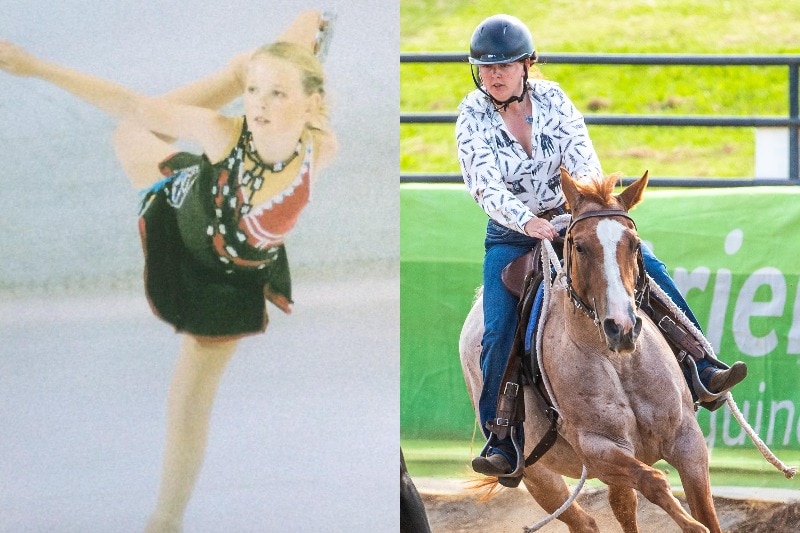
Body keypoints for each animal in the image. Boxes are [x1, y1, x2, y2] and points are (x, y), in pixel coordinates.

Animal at [460, 170, 720, 532]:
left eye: (634, 244)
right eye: (580, 246)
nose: (621, 326)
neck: (617, 362)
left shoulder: (688, 442)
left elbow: (706, 512)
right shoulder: (599, 448)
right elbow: (654, 481)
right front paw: (691, 525)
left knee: (621, 506)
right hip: (538, 475)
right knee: (585, 520)